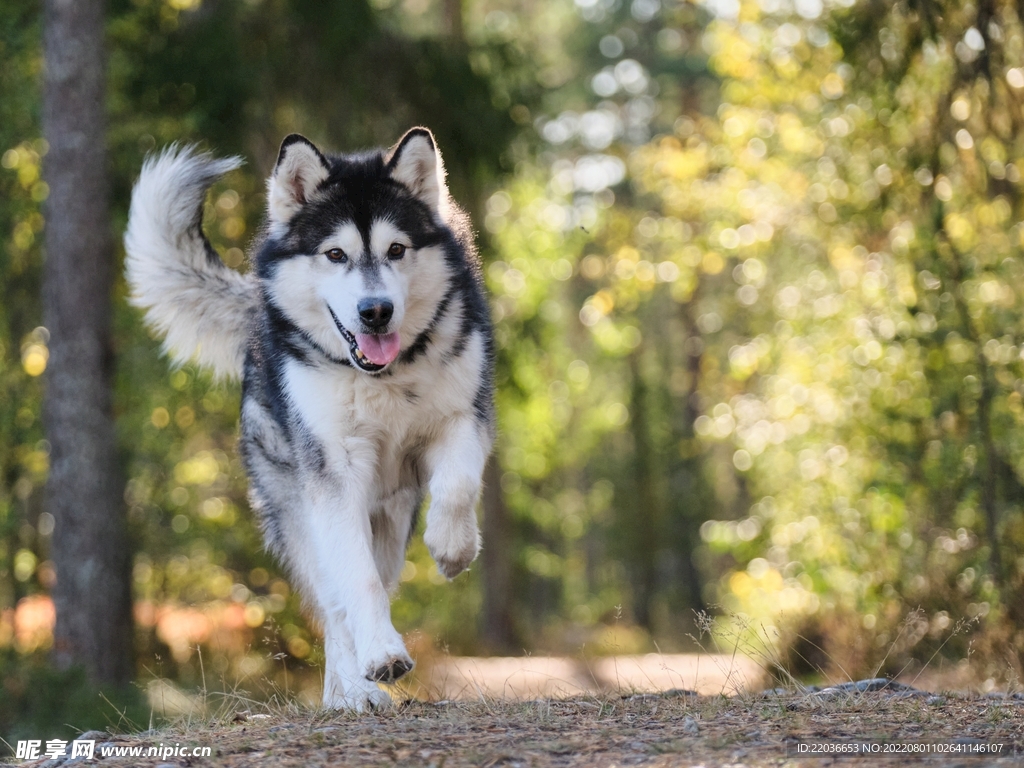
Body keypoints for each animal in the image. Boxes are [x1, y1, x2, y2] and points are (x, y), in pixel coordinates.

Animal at [122, 129, 491, 712]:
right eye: (335, 254)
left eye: (396, 250)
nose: (375, 311)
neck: (383, 378)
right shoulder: (334, 474)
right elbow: (356, 582)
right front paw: (380, 657)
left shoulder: (463, 416)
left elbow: (456, 486)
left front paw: (453, 551)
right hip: (303, 510)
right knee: (337, 604)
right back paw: (353, 691)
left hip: (390, 517)